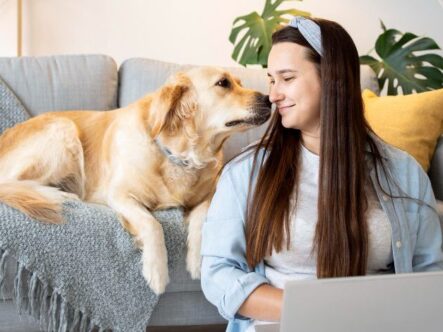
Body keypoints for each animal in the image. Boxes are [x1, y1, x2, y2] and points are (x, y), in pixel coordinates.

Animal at [0, 66, 272, 294]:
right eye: (223, 83)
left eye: (240, 82)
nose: (268, 99)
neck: (180, 155)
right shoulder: (119, 195)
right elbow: (152, 224)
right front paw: (157, 271)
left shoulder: (211, 193)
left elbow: (201, 217)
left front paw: (196, 261)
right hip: (63, 130)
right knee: (13, 184)